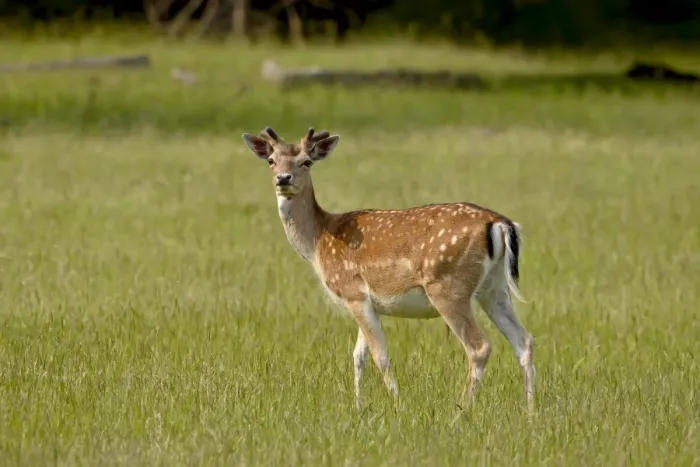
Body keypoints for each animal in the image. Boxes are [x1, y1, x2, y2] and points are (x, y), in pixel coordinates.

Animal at [242, 126, 536, 411]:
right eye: (271, 160)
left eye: (306, 161)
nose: (283, 178)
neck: (318, 241)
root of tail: (499, 223)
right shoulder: (368, 303)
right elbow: (358, 356)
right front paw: (359, 407)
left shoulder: (353, 292)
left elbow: (379, 355)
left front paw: (397, 403)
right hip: (494, 289)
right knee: (524, 341)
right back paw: (530, 410)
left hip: (448, 286)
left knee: (479, 347)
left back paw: (460, 410)